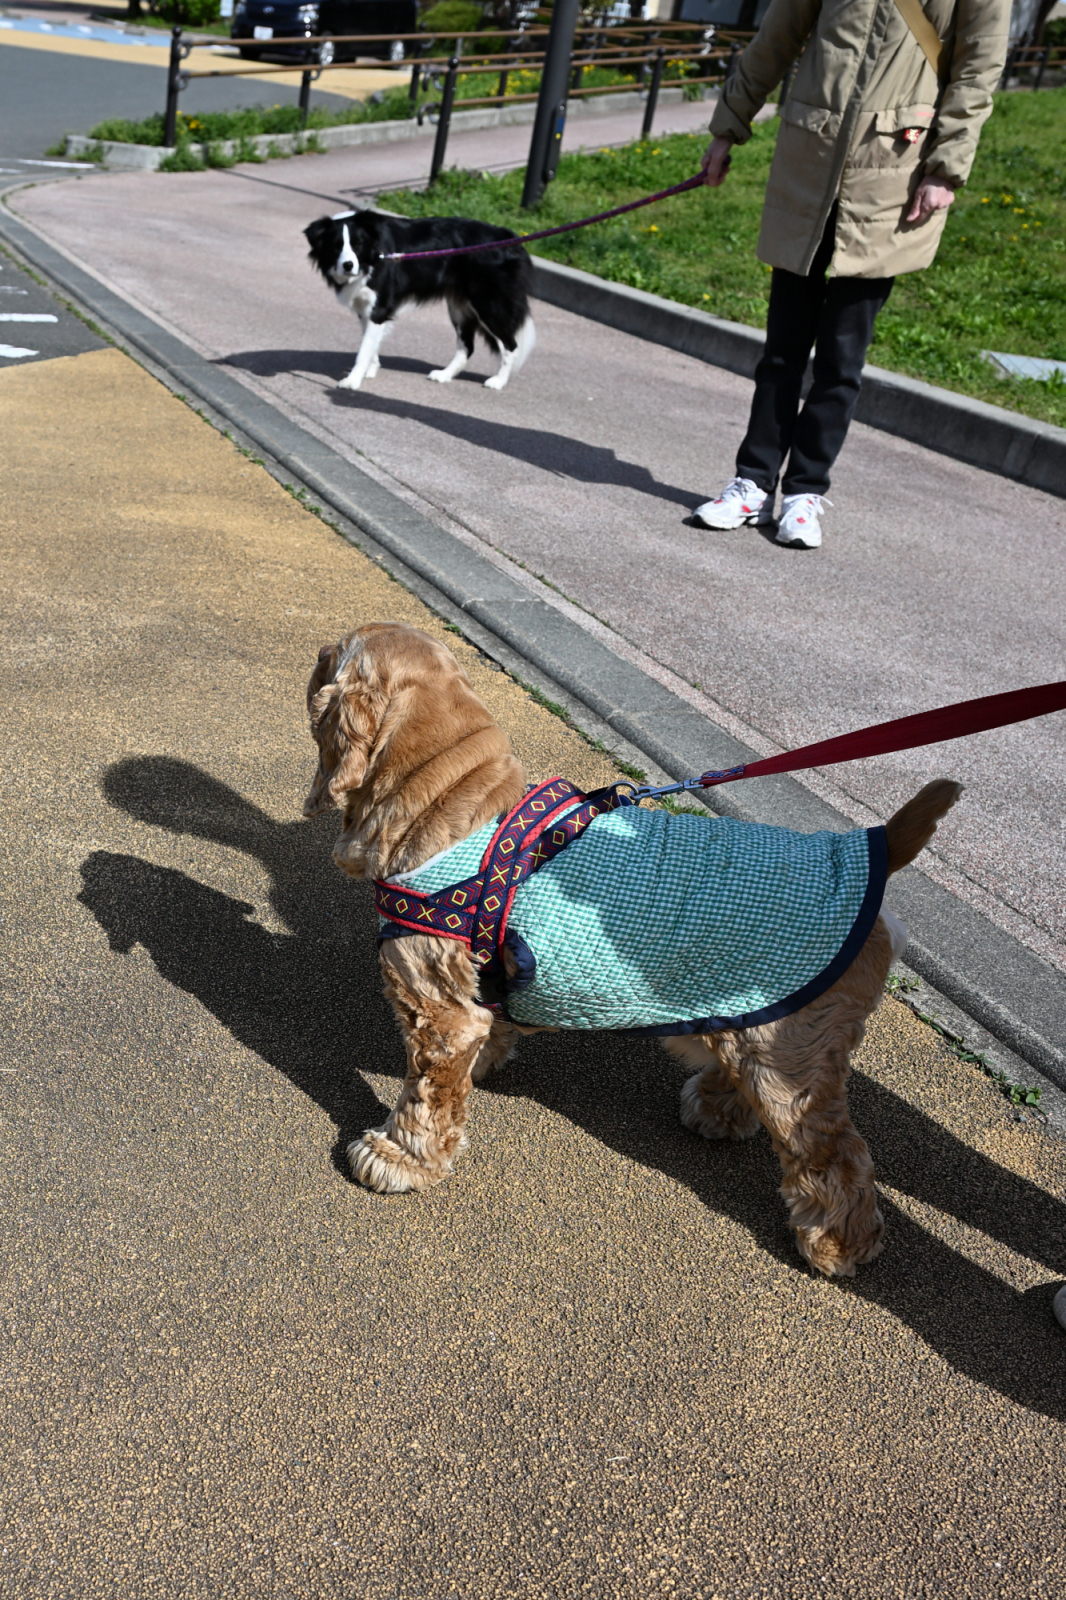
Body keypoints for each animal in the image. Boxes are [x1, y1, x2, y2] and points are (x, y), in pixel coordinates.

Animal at [303, 209, 536, 393]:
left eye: (358, 244)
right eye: (335, 246)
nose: (349, 265)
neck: (374, 257)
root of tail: (508, 237)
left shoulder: (379, 307)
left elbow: (364, 348)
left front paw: (352, 380)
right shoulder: (365, 308)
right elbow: (369, 342)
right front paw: (371, 369)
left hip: (489, 304)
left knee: (511, 344)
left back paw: (498, 381)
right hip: (459, 306)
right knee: (467, 347)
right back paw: (444, 375)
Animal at [303, 621, 963, 1279]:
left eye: (328, 656)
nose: (316, 654)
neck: (447, 789)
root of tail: (875, 847)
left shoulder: (438, 1011)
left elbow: (426, 1094)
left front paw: (396, 1157)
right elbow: (487, 1031)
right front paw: (487, 1062)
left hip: (791, 1054)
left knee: (836, 1151)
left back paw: (838, 1245)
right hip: (752, 1018)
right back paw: (718, 1109)